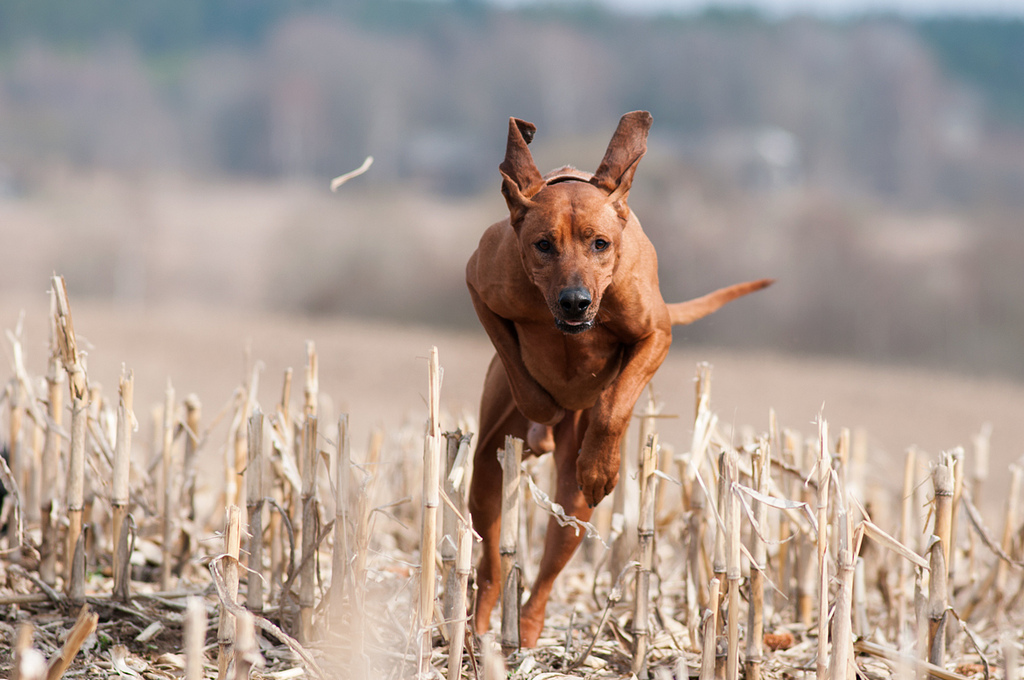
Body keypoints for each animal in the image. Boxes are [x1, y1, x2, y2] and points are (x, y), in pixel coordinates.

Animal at [464, 110, 770, 643]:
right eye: (543, 245)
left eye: (600, 243)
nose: (575, 302)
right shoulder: (481, 286)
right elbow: (520, 368)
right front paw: (542, 408)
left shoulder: (656, 333)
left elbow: (614, 406)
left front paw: (600, 465)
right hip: (485, 468)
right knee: (491, 554)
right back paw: (483, 624)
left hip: (573, 508)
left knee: (551, 563)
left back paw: (528, 626)